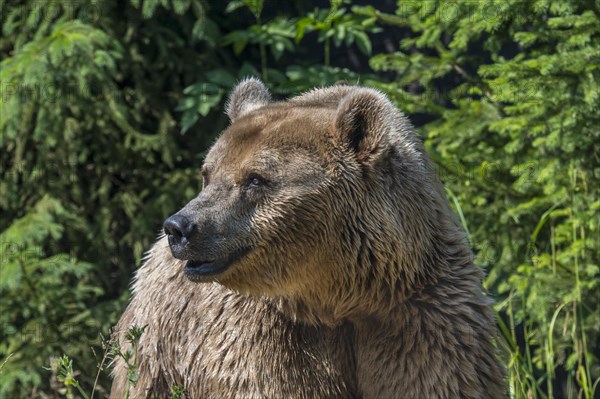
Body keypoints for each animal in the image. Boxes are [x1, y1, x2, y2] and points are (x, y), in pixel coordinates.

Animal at [109, 79, 506, 399]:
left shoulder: (420, 313)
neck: (343, 295)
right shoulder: (267, 334)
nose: (179, 227)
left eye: (255, 179)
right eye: (208, 174)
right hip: (158, 347)